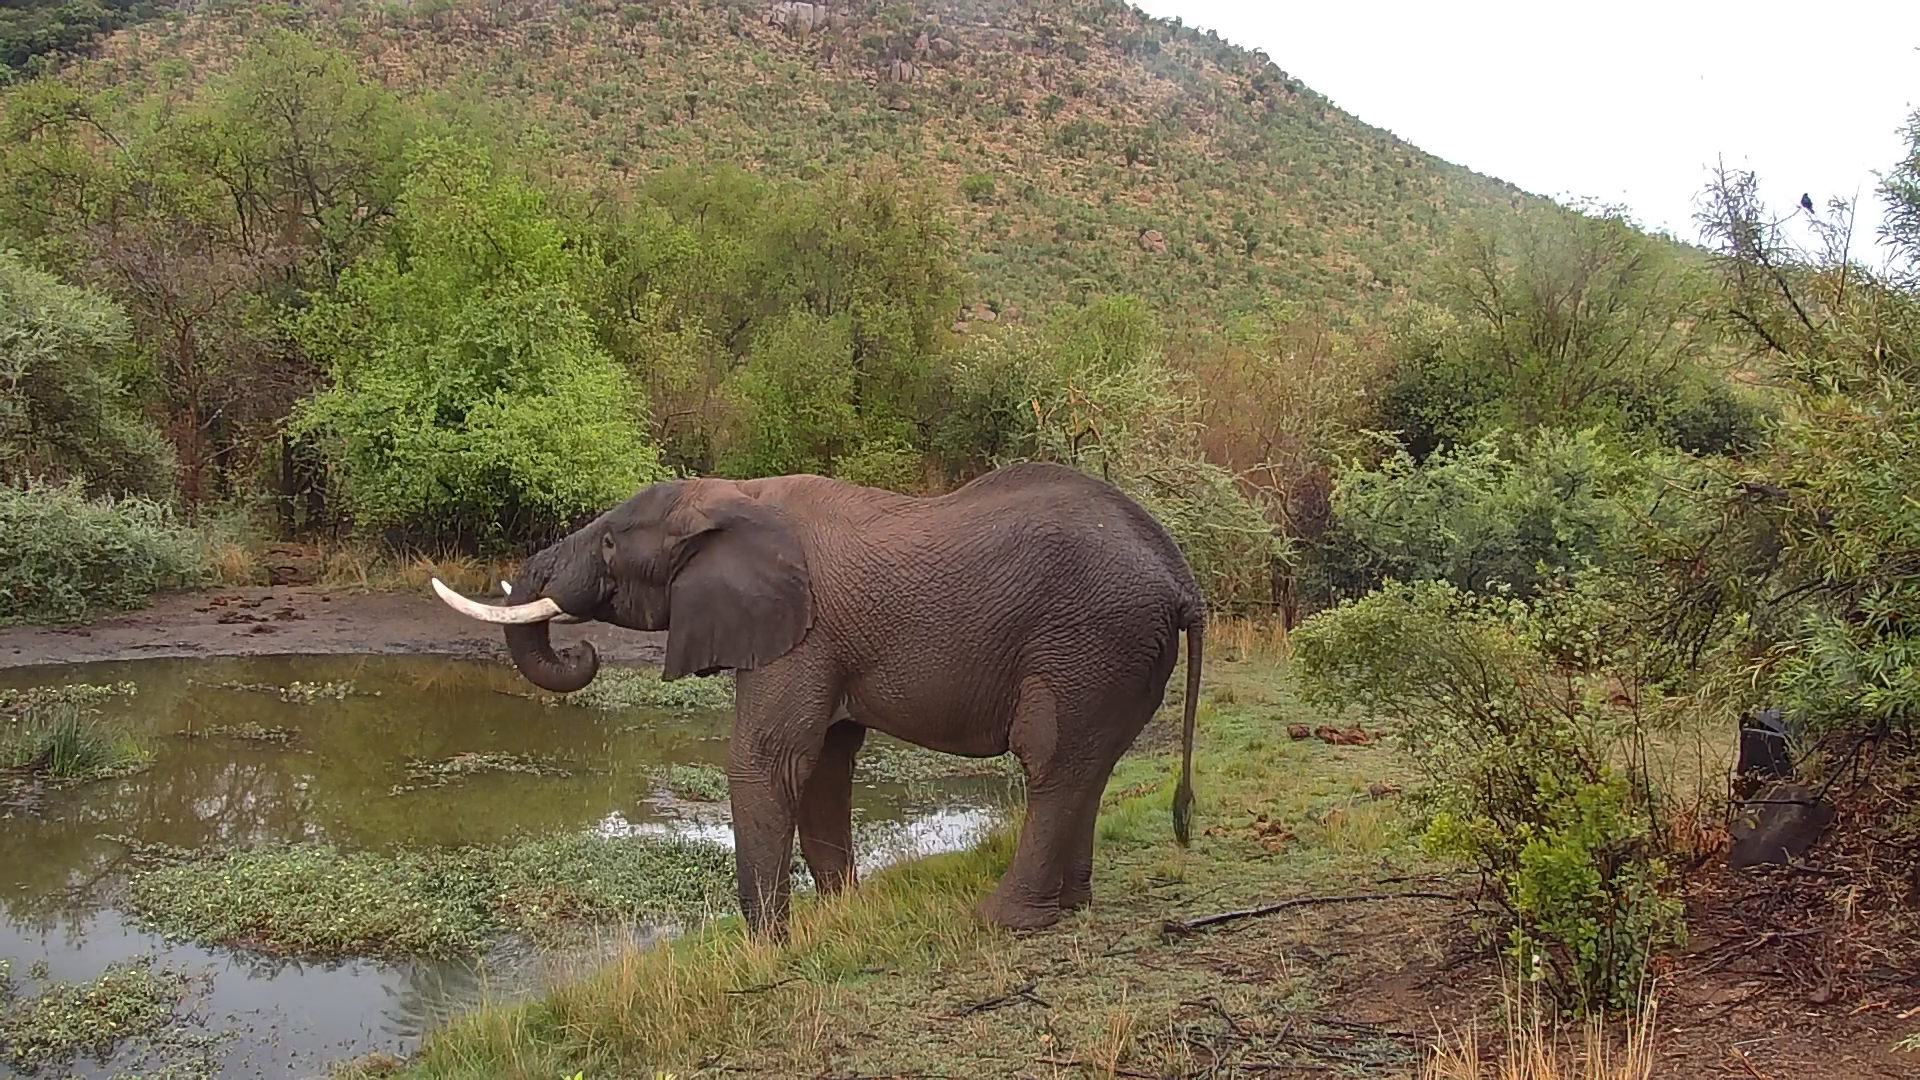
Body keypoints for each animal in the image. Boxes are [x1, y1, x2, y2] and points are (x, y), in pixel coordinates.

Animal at [431, 461, 1204, 936]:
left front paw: (765, 945)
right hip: (1114, 656)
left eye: (613, 547)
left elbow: (768, 759)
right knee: (1084, 768)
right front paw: (840, 916)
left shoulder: (799, 634)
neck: (736, 494)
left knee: (1050, 760)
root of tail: (1182, 578)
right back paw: (1067, 909)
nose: (581, 652)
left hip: (1088, 640)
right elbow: (827, 763)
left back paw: (1000, 920)